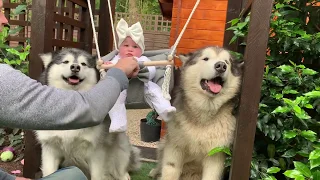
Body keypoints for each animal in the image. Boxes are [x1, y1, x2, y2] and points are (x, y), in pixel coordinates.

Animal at [34, 48, 141, 180]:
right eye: (66, 61)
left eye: (83, 64)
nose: (75, 67)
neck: (73, 105)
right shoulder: (50, 149)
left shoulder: (96, 152)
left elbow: (96, 175)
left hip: (121, 144)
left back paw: (123, 175)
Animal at [149, 46, 244, 180]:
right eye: (206, 58)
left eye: (227, 62)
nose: (221, 66)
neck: (204, 111)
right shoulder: (175, 147)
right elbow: (170, 170)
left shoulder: (215, 154)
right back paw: (154, 172)